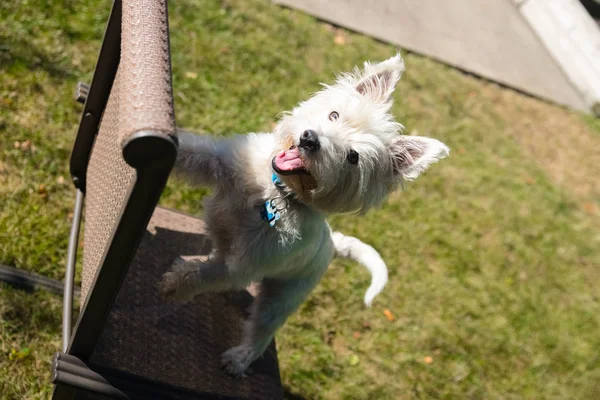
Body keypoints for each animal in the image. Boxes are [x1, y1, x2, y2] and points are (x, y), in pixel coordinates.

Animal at [161, 53, 450, 376]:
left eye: (353, 157)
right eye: (334, 115)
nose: (309, 139)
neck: (277, 193)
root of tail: (334, 244)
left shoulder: (244, 265)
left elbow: (204, 276)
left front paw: (174, 285)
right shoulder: (220, 162)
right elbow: (189, 153)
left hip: (282, 298)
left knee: (261, 330)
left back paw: (239, 359)